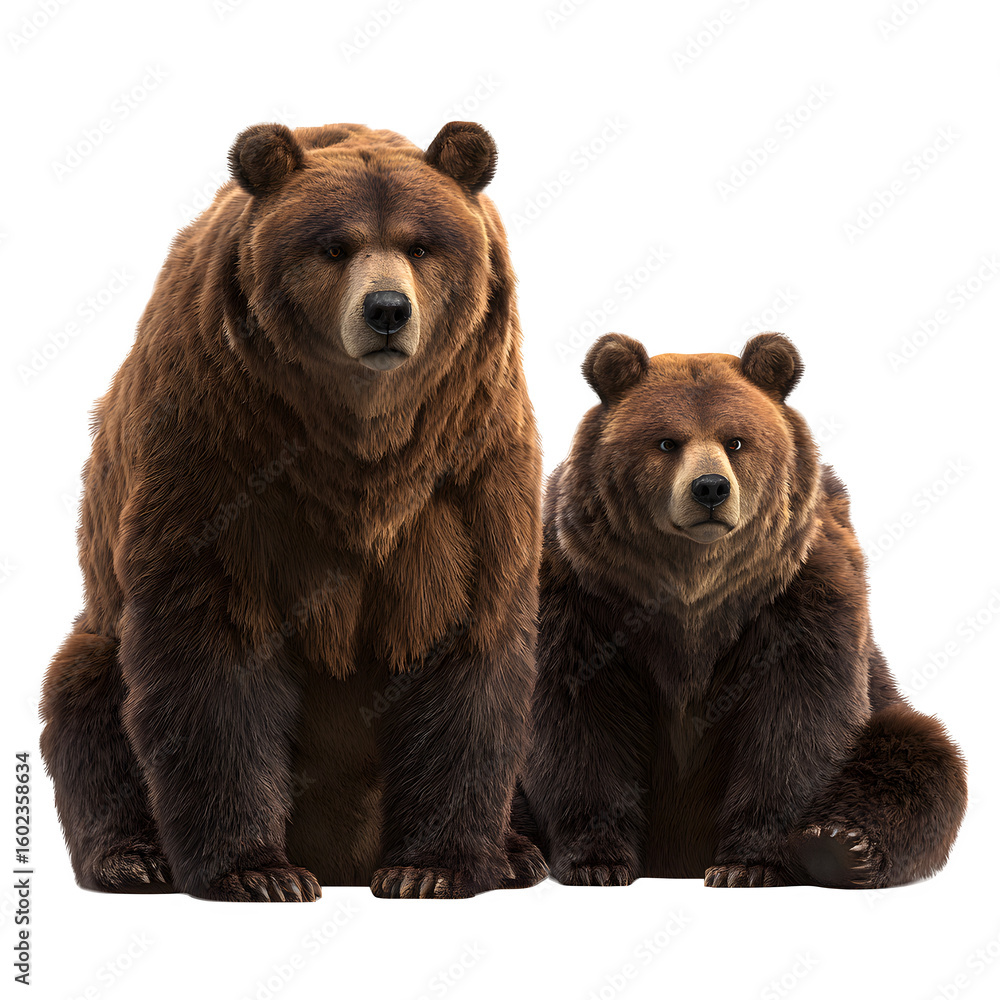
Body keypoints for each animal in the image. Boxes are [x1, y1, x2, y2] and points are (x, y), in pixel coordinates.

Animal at [40, 120, 546, 901]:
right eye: (334, 246)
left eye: (421, 244)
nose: (387, 310)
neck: (359, 445)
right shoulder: (223, 454)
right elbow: (212, 649)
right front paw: (258, 871)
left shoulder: (464, 470)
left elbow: (465, 638)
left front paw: (429, 867)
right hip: (101, 631)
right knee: (84, 696)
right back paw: (134, 857)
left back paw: (518, 853)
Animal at [521, 332, 967, 888]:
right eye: (667, 442)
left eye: (735, 441)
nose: (711, 487)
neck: (694, 590)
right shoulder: (585, 595)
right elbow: (578, 717)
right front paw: (597, 861)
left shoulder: (797, 595)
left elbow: (794, 721)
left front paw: (749, 862)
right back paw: (517, 855)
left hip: (884, 711)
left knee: (919, 753)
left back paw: (843, 845)